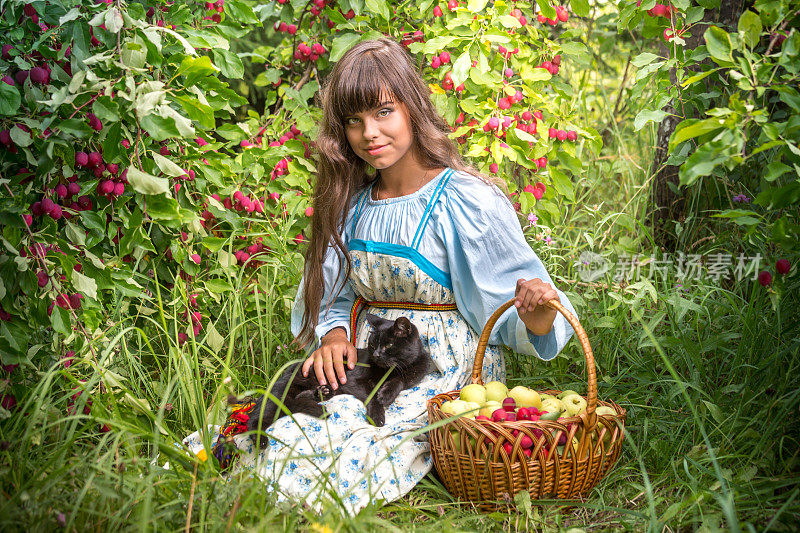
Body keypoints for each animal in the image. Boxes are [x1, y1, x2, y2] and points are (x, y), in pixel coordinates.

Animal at [247, 312, 434, 444]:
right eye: (372, 344)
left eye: (388, 345)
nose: (375, 355)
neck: (390, 370)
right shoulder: (354, 381)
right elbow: (372, 394)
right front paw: (377, 415)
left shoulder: (412, 374)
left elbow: (399, 381)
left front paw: (387, 393)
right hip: (279, 395)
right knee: (255, 420)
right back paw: (261, 441)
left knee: (297, 400)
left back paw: (321, 393)